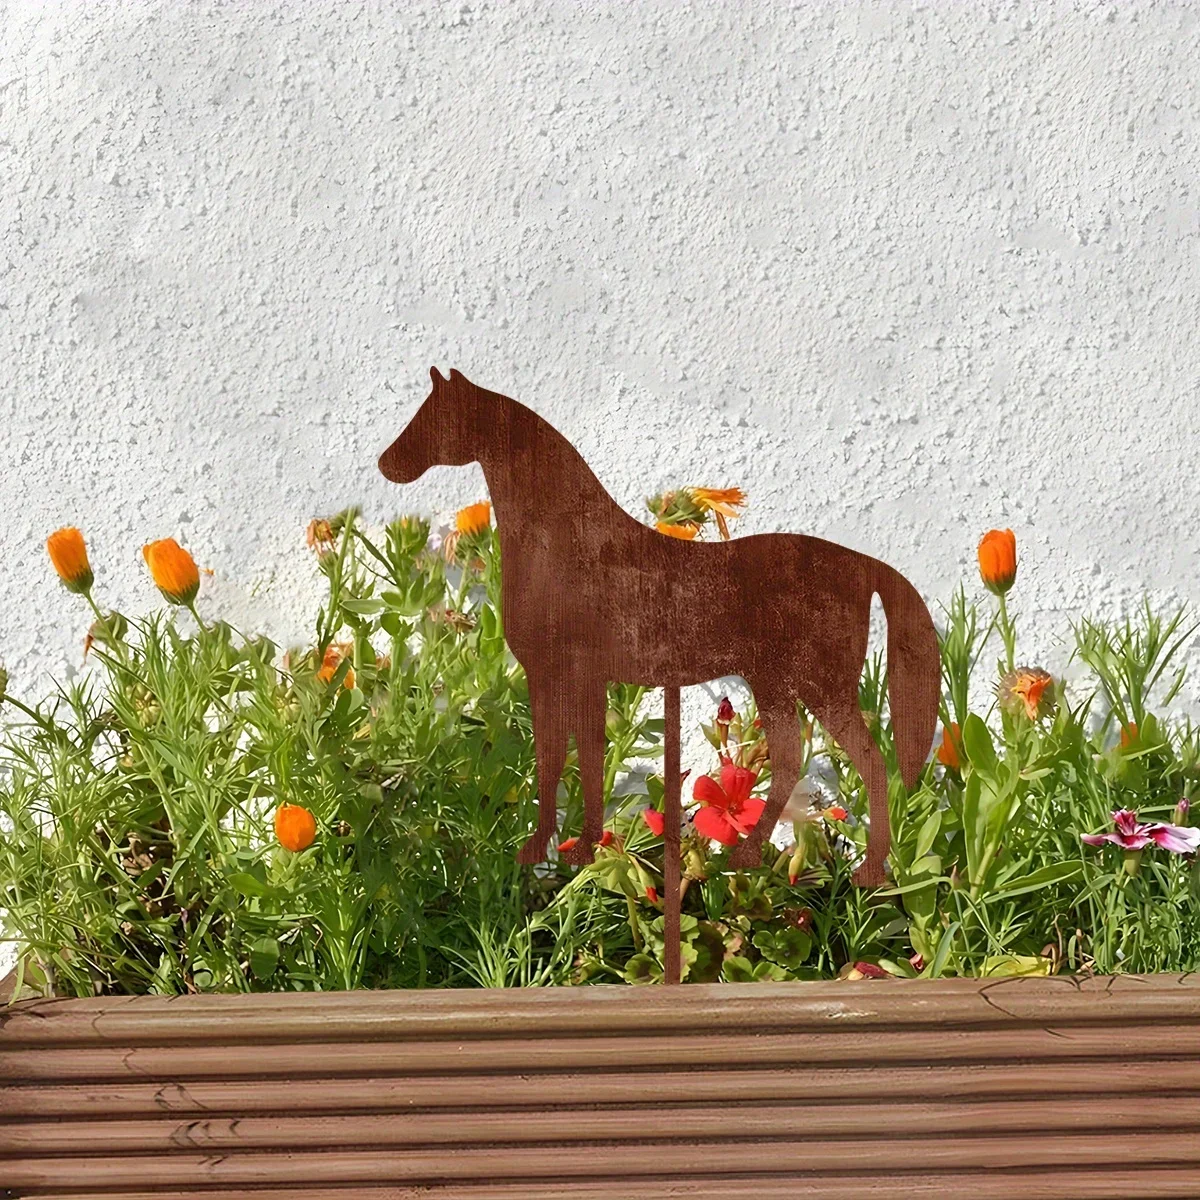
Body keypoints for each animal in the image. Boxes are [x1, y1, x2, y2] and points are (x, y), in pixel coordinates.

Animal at [379, 367, 940, 887]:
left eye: (437, 415)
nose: (386, 464)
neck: (569, 545)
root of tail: (861, 565)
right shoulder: (558, 677)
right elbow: (564, 757)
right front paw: (554, 849)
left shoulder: (572, 674)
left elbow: (575, 757)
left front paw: (576, 850)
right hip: (776, 682)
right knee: (787, 763)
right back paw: (747, 856)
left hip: (822, 685)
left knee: (868, 763)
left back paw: (867, 871)